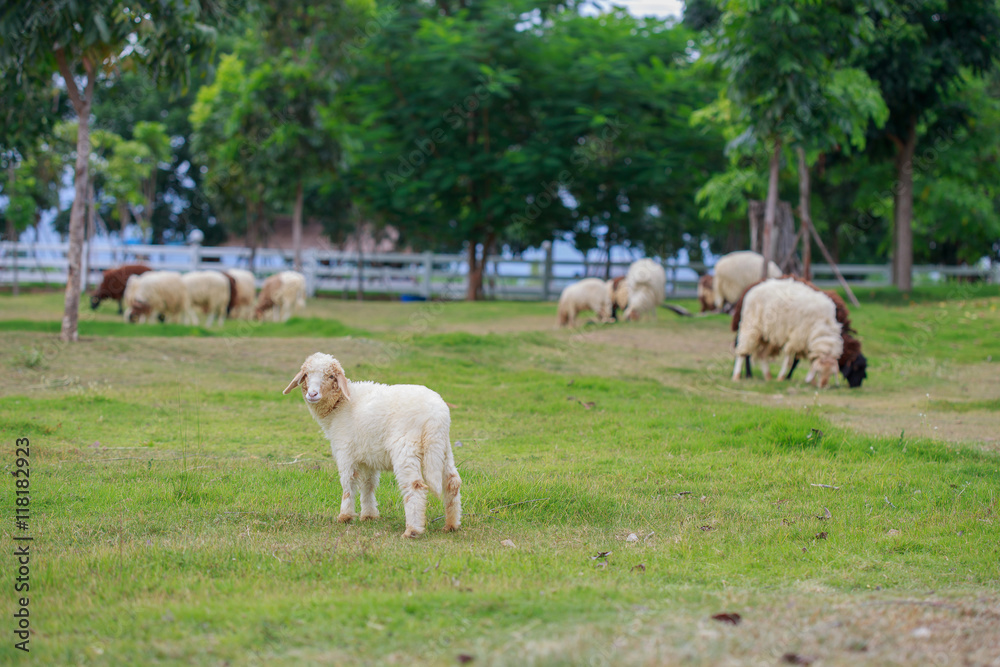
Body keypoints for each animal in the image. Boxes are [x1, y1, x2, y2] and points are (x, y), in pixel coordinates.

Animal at [282, 353, 462, 538]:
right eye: (306, 375)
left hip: (406, 449)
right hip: (442, 449)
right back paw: (451, 524)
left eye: (331, 376)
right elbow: (368, 485)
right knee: (452, 482)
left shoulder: (345, 451)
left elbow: (348, 484)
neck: (340, 405)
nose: (312, 394)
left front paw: (345, 516)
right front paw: (369, 515)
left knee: (415, 487)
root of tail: (436, 416)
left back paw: (412, 530)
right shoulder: (367, 457)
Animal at [731, 276, 868, 388]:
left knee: (762, 355)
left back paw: (768, 376)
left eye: (831, 374)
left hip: (768, 334)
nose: (856, 386)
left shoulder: (806, 341)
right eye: (856, 368)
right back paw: (739, 376)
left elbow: (804, 362)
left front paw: (811, 381)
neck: (822, 325)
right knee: (743, 352)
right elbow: (790, 361)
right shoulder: (798, 337)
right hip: (751, 325)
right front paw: (783, 377)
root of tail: (754, 288)